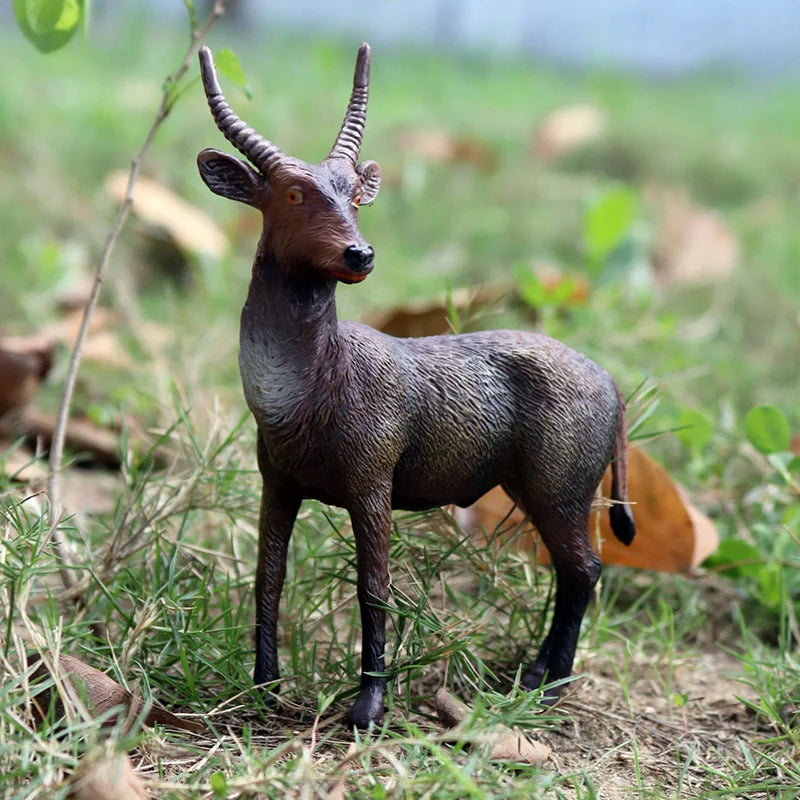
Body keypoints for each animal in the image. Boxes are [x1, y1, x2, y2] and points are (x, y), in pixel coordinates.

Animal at [196, 43, 636, 729]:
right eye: (293, 194)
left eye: (354, 194)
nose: (360, 254)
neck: (311, 388)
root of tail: (612, 386)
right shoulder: (279, 485)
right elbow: (268, 577)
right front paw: (261, 689)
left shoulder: (372, 487)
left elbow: (372, 587)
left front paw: (367, 708)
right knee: (575, 570)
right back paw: (533, 676)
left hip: (559, 489)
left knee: (585, 566)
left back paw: (547, 688)